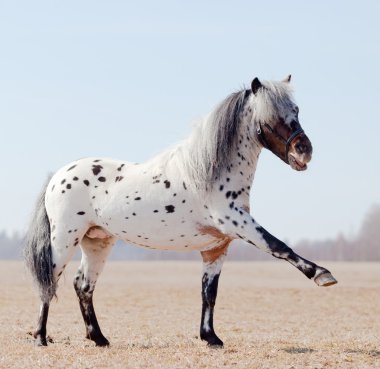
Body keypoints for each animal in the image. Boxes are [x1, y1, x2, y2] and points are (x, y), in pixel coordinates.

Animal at [23, 76, 336, 346]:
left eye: (296, 110)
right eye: (269, 117)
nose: (304, 150)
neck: (208, 174)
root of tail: (58, 175)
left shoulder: (216, 248)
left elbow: (209, 294)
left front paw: (211, 337)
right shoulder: (240, 225)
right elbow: (279, 247)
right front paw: (322, 275)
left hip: (97, 242)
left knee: (83, 285)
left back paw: (99, 338)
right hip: (64, 240)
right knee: (49, 281)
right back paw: (41, 337)